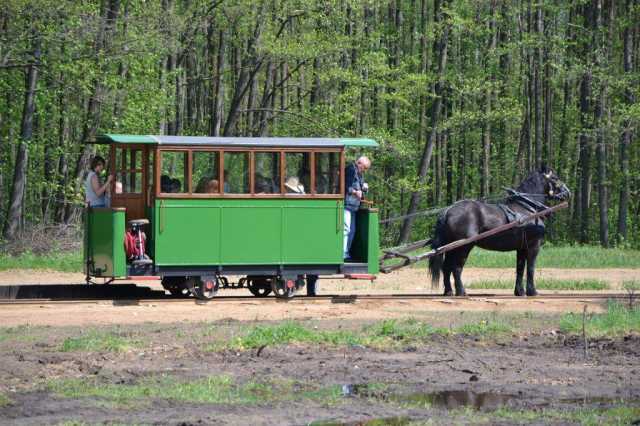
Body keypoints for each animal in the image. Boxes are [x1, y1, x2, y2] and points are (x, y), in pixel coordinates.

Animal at [430, 166, 568, 296]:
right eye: (555, 178)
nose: (567, 192)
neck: (527, 209)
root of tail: (448, 210)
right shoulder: (533, 245)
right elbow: (530, 268)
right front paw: (532, 291)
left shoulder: (521, 247)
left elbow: (520, 268)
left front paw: (519, 292)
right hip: (463, 246)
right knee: (456, 268)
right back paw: (461, 292)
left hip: (450, 246)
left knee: (446, 267)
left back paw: (448, 291)